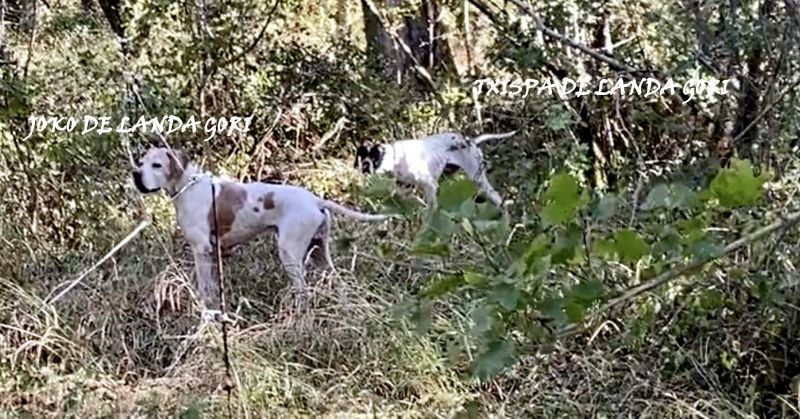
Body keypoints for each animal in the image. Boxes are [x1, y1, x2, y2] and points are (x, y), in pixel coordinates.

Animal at [133, 148, 390, 316]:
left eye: (156, 165)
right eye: (141, 162)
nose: (136, 174)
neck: (189, 186)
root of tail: (316, 200)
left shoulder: (201, 252)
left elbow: (205, 290)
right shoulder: (215, 255)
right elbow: (214, 291)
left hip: (290, 254)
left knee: (304, 292)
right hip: (320, 254)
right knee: (340, 284)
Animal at [354, 130, 516, 208]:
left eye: (375, 159)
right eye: (362, 158)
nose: (364, 167)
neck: (397, 158)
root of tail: (470, 142)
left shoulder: (430, 186)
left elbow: (431, 208)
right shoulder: (405, 189)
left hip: (479, 181)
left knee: (498, 199)